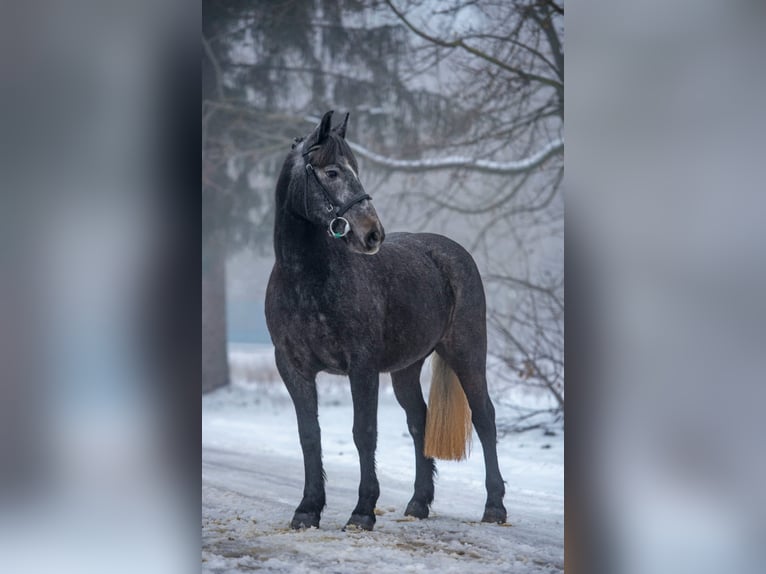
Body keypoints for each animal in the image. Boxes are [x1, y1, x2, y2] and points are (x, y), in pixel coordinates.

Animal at [265, 110, 507, 531]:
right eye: (331, 172)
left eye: (355, 170)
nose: (372, 234)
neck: (305, 281)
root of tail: (450, 252)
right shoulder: (292, 367)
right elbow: (309, 434)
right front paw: (308, 509)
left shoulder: (361, 366)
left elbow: (364, 432)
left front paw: (362, 511)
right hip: (406, 369)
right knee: (419, 421)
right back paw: (419, 503)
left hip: (467, 353)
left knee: (485, 418)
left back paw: (494, 507)